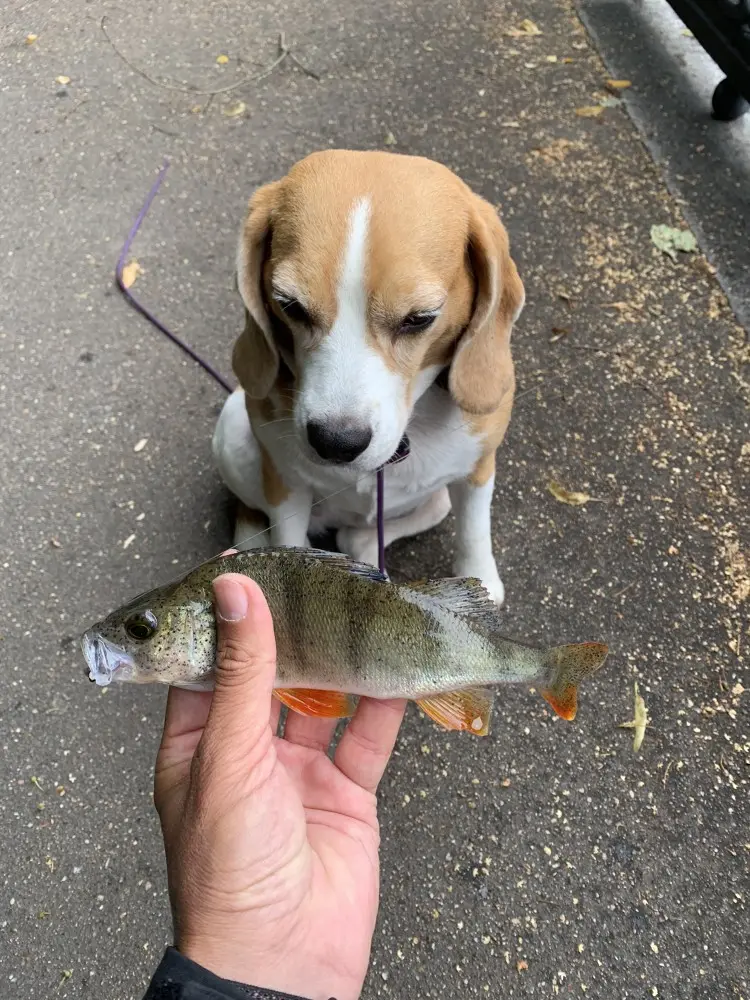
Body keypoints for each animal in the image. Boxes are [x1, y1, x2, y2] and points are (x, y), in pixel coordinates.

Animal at [213, 148, 524, 600]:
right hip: (234, 426)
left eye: (420, 319)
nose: (336, 442)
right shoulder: (286, 488)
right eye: (289, 305)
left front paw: (480, 578)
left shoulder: (480, 465)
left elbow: (473, 529)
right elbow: (284, 538)